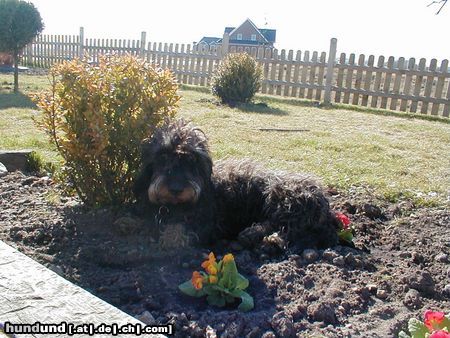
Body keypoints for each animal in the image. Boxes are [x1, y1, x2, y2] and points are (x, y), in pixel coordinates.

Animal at [133, 119, 338, 251]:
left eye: (192, 159)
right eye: (163, 156)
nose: (176, 189)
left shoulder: (206, 222)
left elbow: (177, 231)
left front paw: (164, 239)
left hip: (281, 195)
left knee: (286, 227)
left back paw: (263, 237)